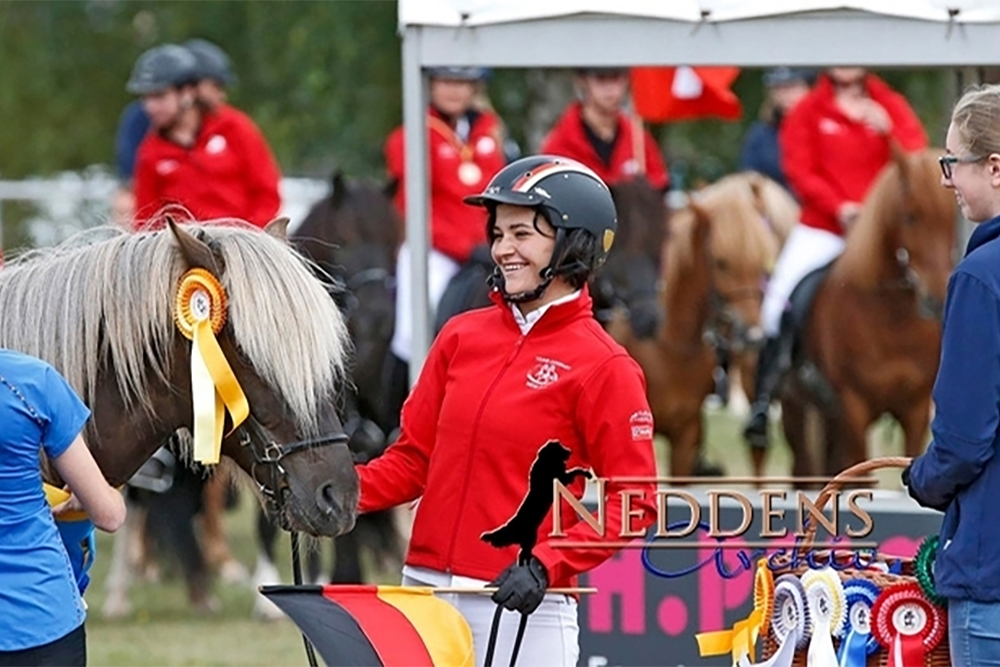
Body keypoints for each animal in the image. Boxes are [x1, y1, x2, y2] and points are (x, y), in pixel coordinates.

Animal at [776, 149, 956, 480]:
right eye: (911, 216)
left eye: (952, 218)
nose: (936, 298)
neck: (893, 318)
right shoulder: (854, 407)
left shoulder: (916, 409)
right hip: (796, 408)